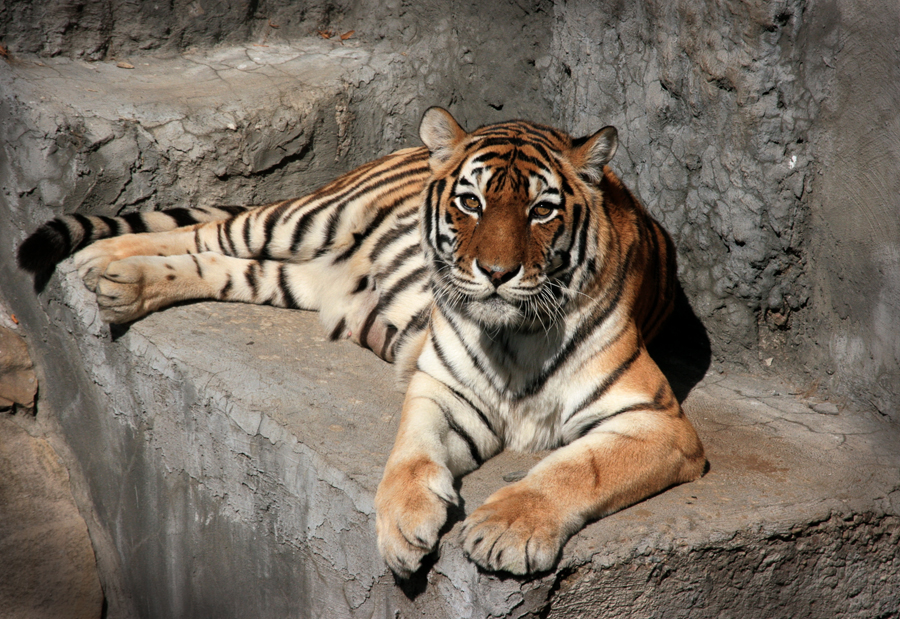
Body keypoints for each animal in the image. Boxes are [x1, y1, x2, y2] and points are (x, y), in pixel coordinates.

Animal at [15, 106, 704, 576]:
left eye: (541, 211)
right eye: (471, 203)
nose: (496, 273)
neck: (517, 336)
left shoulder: (658, 421)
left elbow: (577, 468)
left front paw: (506, 528)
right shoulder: (442, 387)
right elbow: (410, 454)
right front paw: (402, 526)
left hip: (283, 276)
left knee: (211, 259)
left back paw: (123, 283)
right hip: (293, 222)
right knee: (208, 230)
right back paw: (101, 261)